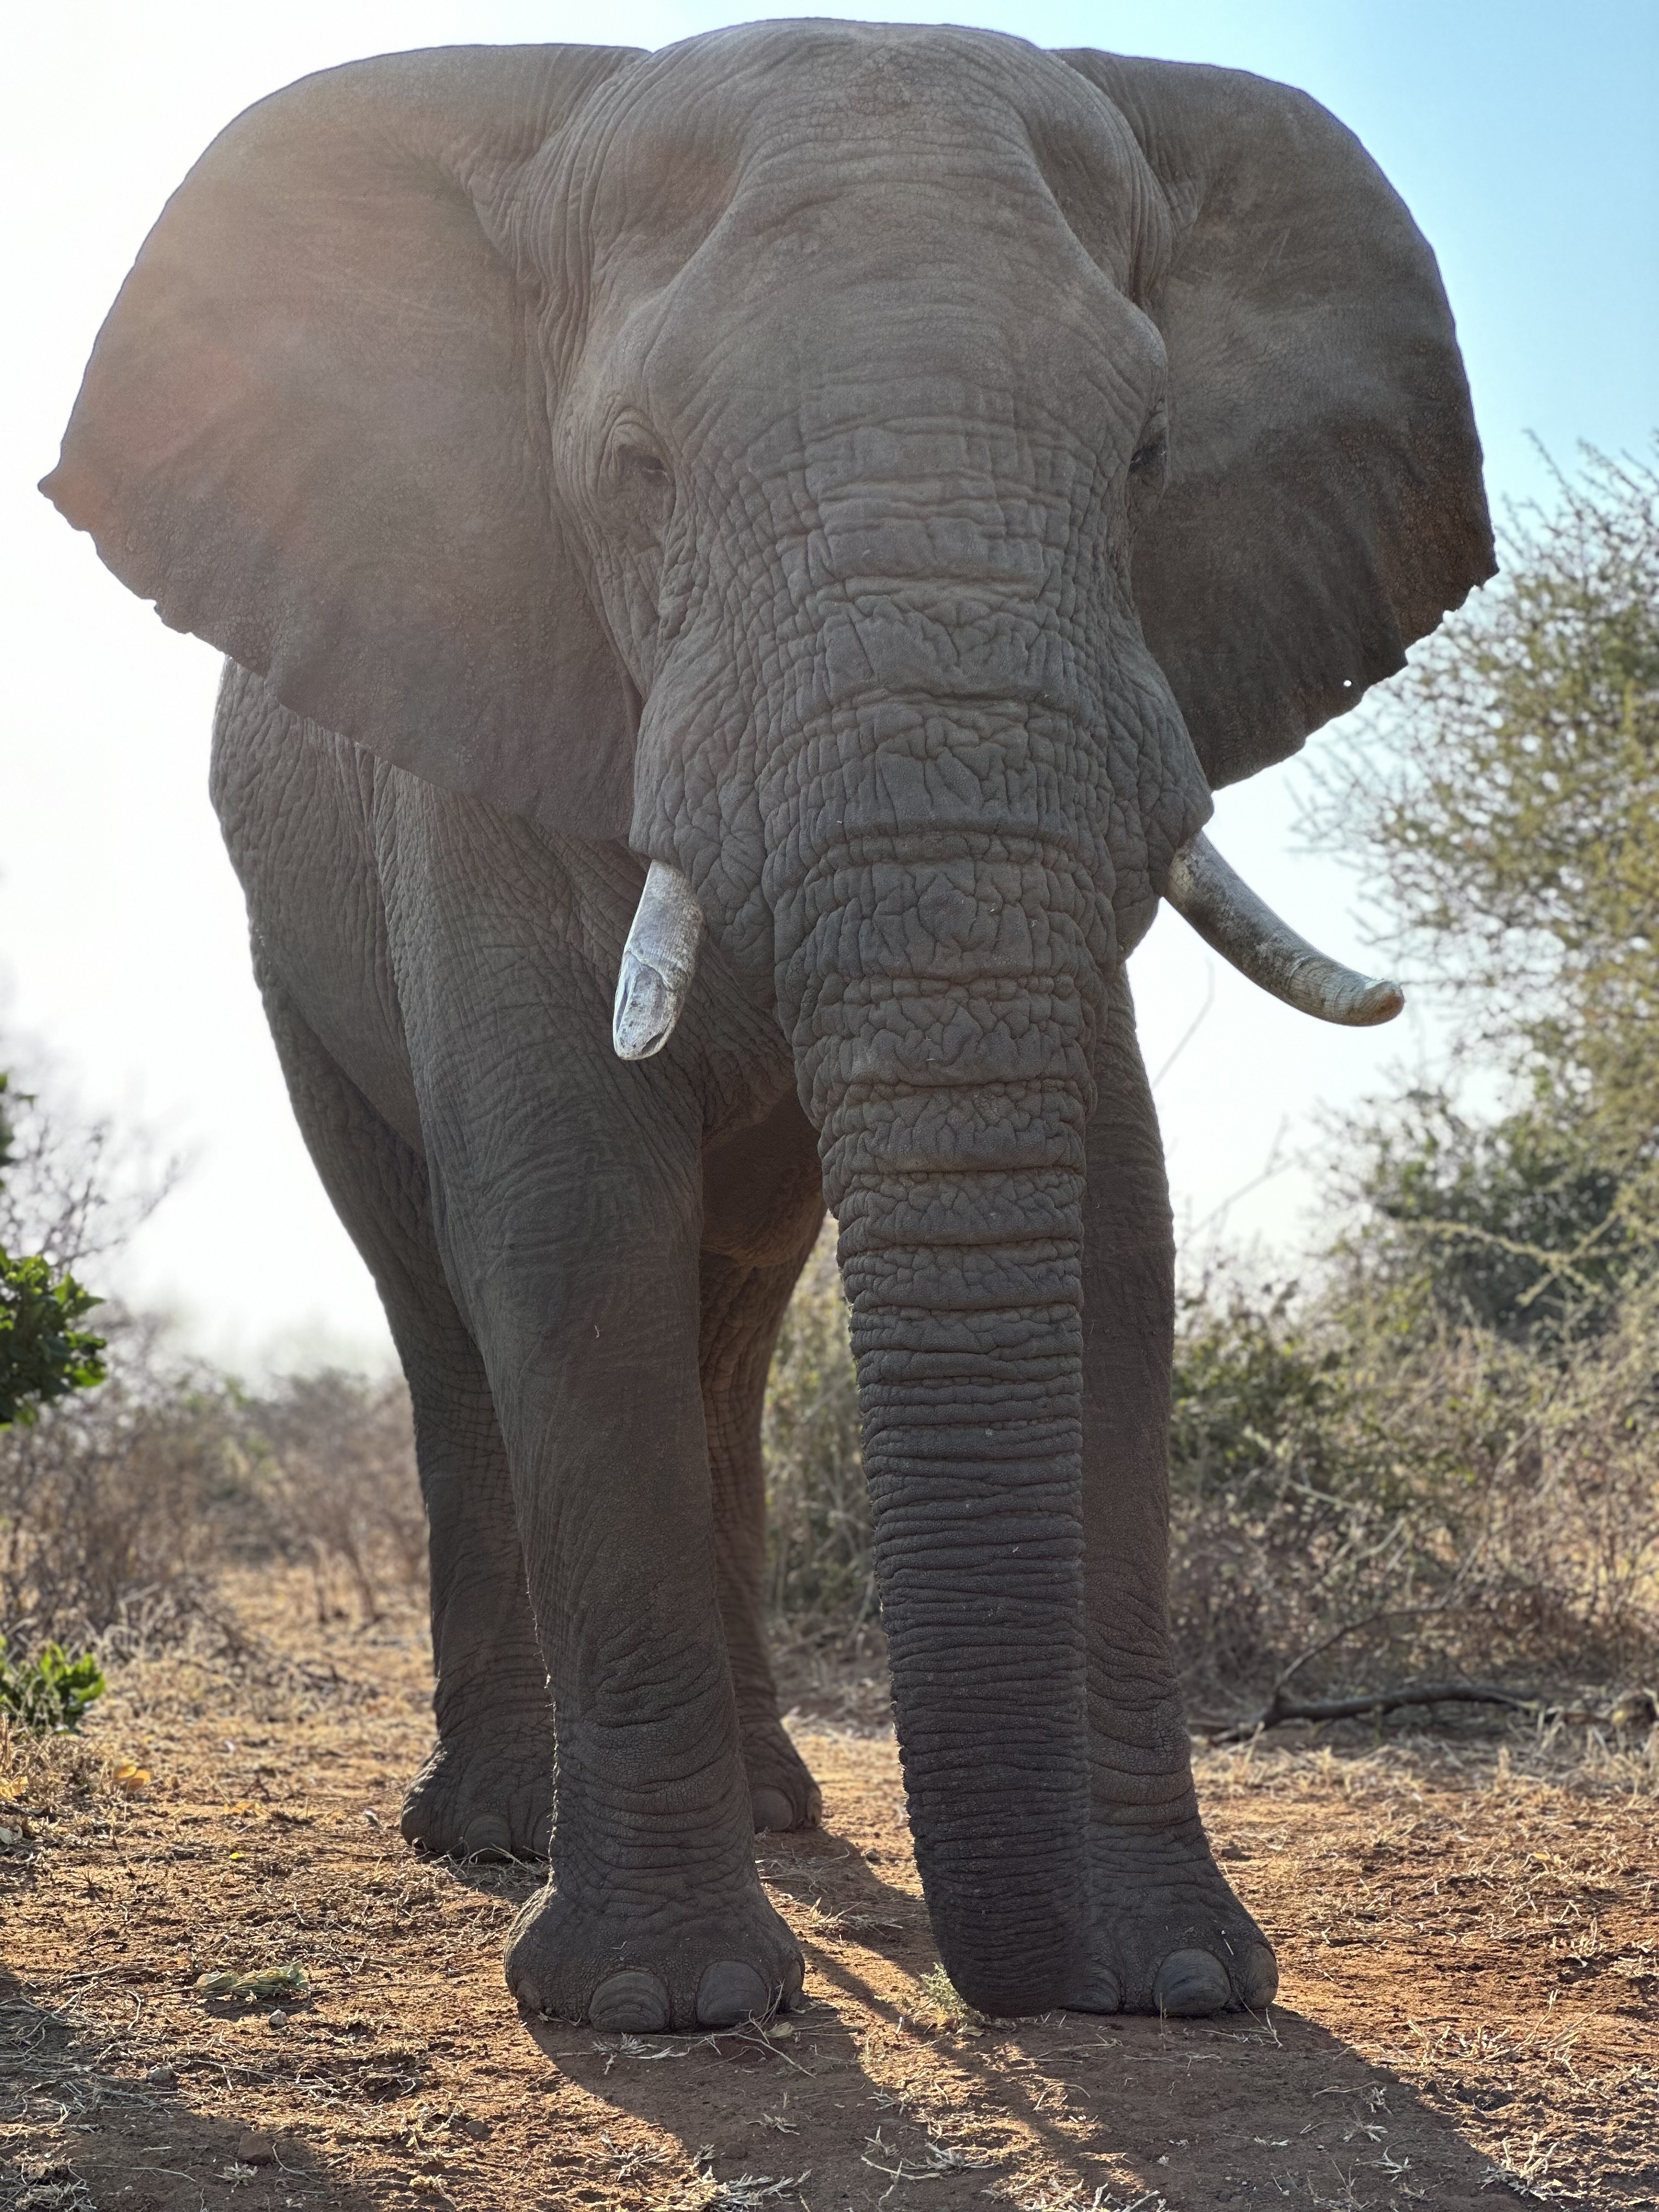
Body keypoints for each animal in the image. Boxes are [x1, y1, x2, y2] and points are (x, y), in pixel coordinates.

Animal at [44, 21, 1492, 2032]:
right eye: (635, 468)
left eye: (1143, 457)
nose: (1012, 1998)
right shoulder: (473, 707)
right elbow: (566, 1219)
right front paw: (665, 2007)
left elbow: (1112, 1236)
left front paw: (1180, 1976)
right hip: (290, 962)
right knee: (445, 1312)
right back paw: (491, 1828)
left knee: (727, 1329)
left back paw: (784, 1806)